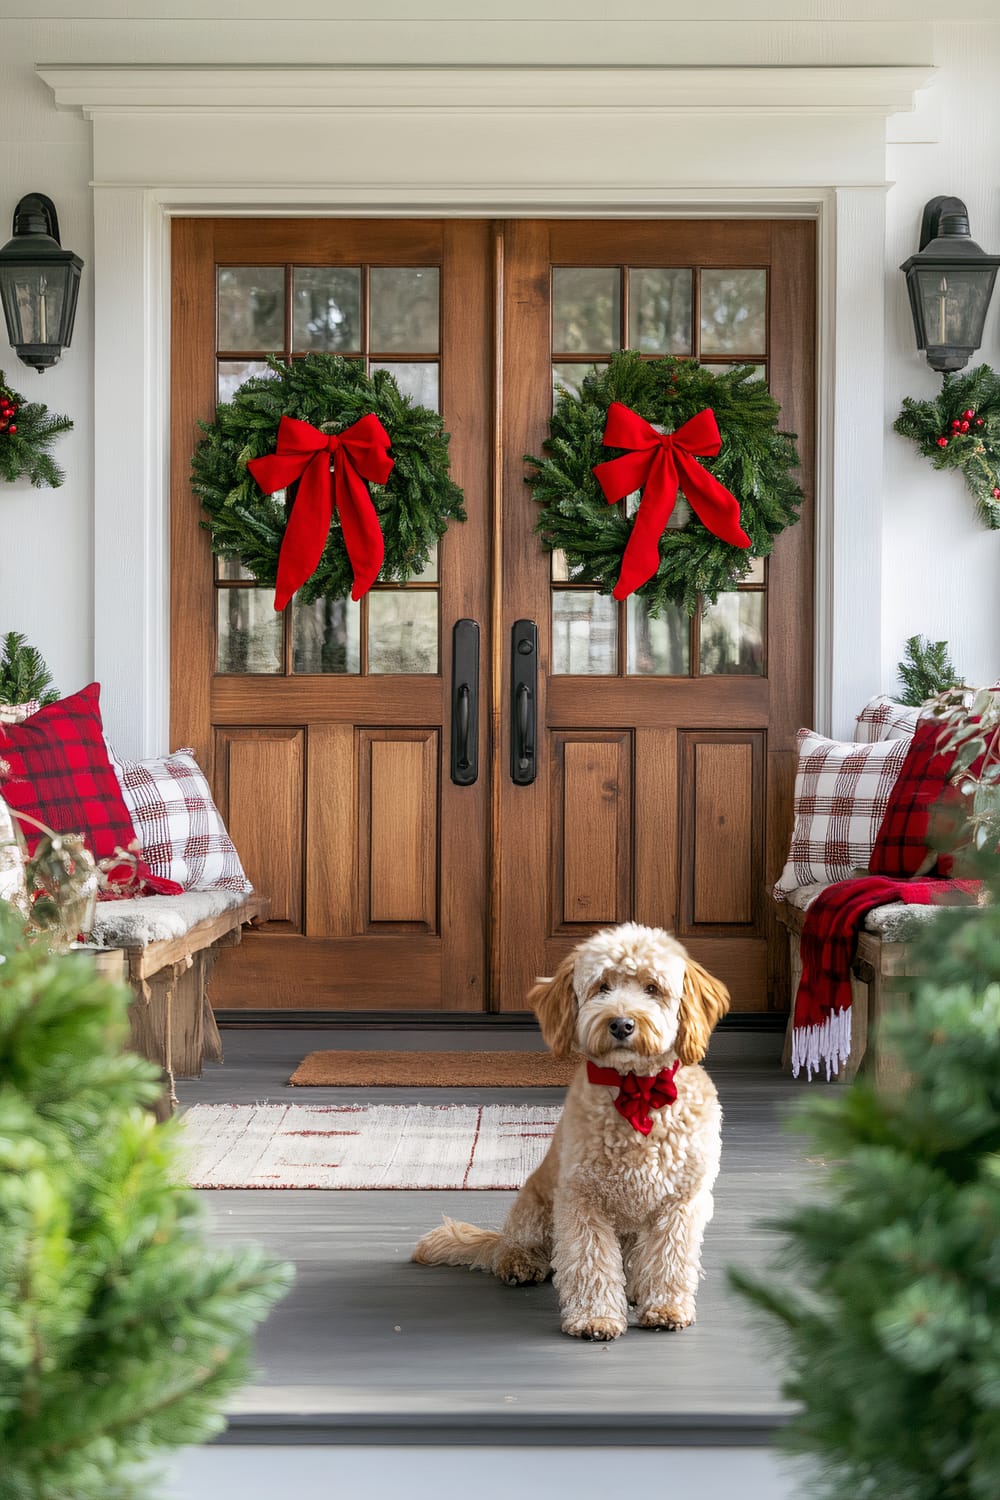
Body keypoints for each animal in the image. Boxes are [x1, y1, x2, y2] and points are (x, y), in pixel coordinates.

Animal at [410, 918, 731, 1344]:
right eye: (602, 987)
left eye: (652, 988)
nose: (621, 1023)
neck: (635, 1090)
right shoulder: (582, 1201)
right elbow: (590, 1262)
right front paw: (595, 1319)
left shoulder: (680, 1202)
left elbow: (669, 1259)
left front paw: (666, 1308)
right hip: (536, 1206)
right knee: (523, 1248)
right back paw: (520, 1263)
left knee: (634, 1265)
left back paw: (636, 1289)